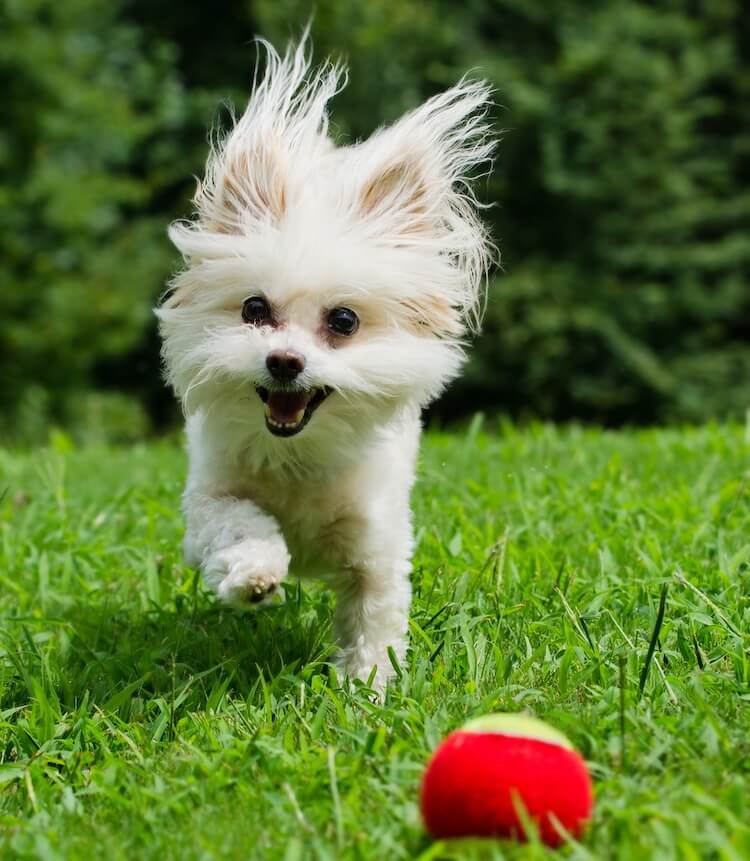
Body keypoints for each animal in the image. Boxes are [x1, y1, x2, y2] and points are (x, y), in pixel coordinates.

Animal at [156, 40, 496, 688]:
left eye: (343, 321)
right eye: (254, 309)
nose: (285, 361)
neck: (299, 458)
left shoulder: (378, 544)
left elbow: (375, 614)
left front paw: (366, 688)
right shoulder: (208, 502)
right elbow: (237, 526)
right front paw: (255, 574)